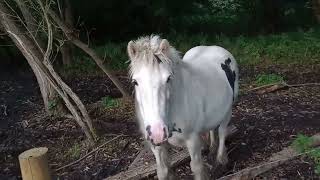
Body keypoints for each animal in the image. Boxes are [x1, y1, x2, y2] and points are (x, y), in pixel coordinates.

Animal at [127, 34, 238, 179]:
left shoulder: (192, 140)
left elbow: (197, 168)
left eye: (168, 78)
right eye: (135, 82)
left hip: (228, 110)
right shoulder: (157, 146)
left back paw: (221, 158)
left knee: (222, 131)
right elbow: (163, 171)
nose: (157, 132)